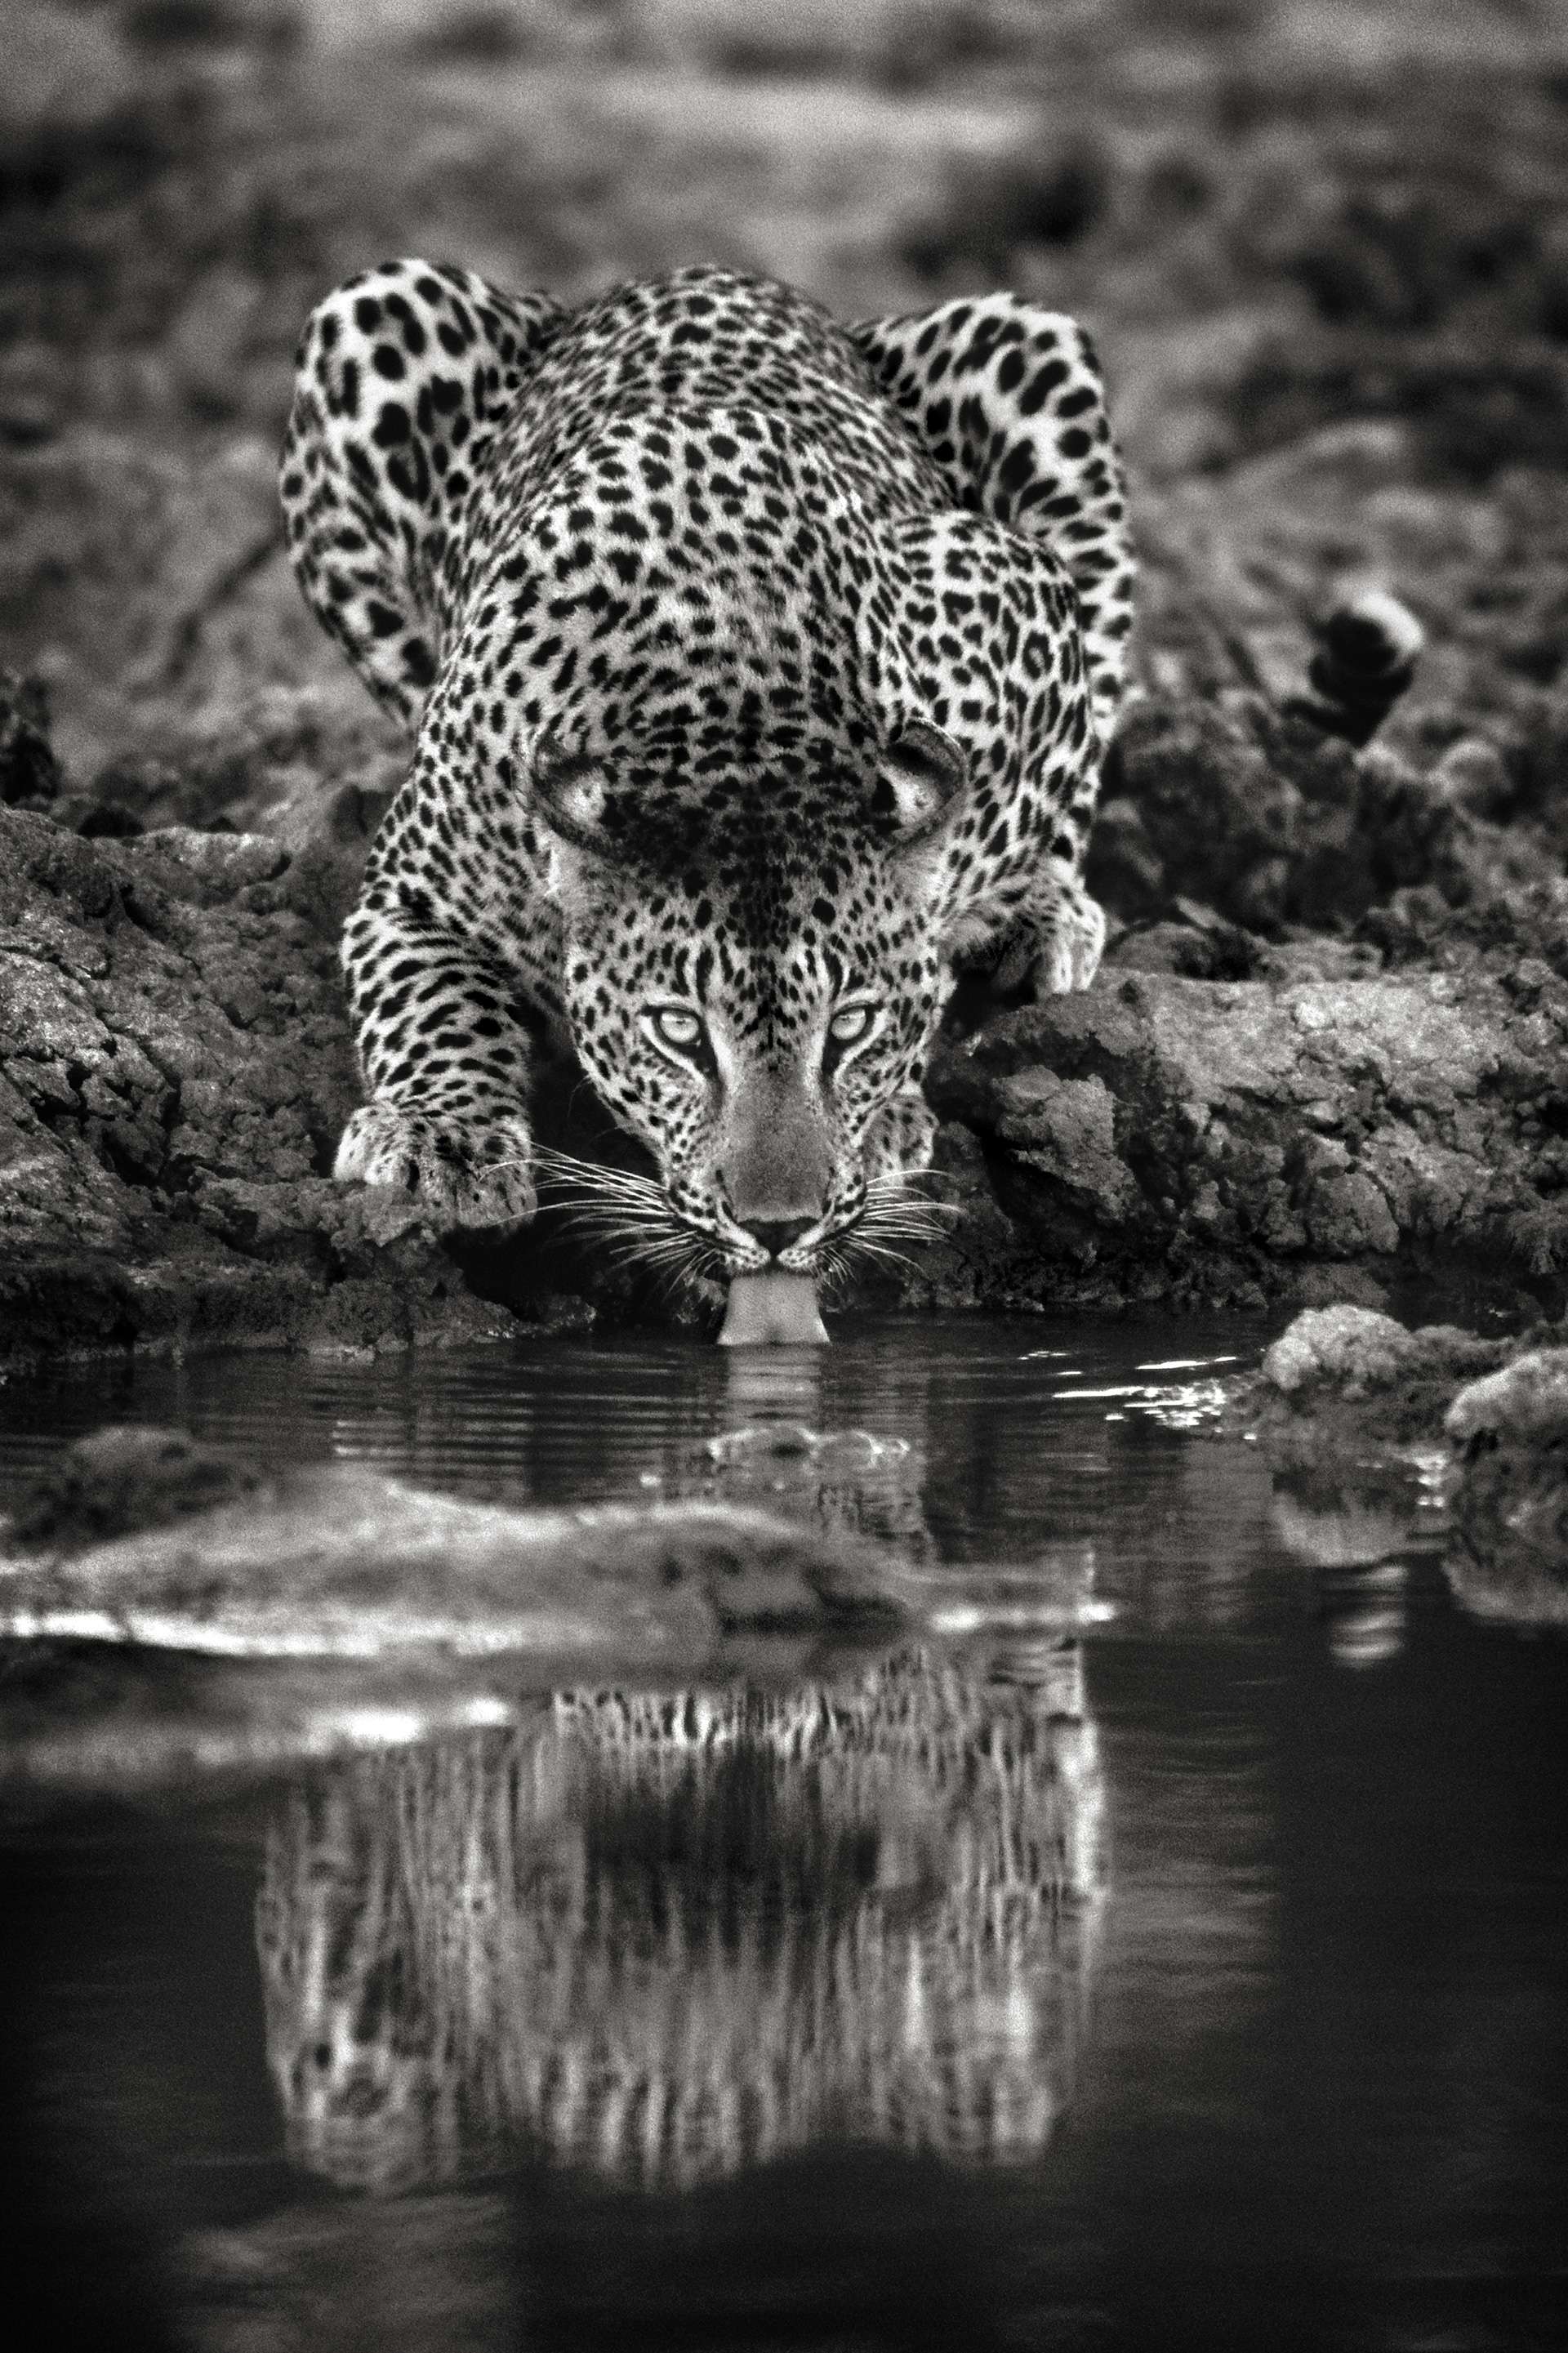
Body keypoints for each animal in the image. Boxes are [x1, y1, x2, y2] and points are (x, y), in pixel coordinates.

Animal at [281, 255, 1129, 1280]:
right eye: (681, 1035)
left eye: (849, 1028)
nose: (779, 1228)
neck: (738, 714)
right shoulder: (414, 890)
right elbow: (430, 1003)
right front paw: (440, 1137)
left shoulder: (1020, 597)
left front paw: (893, 1096)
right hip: (367, 316)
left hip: (1033, 350)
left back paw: (1043, 912)